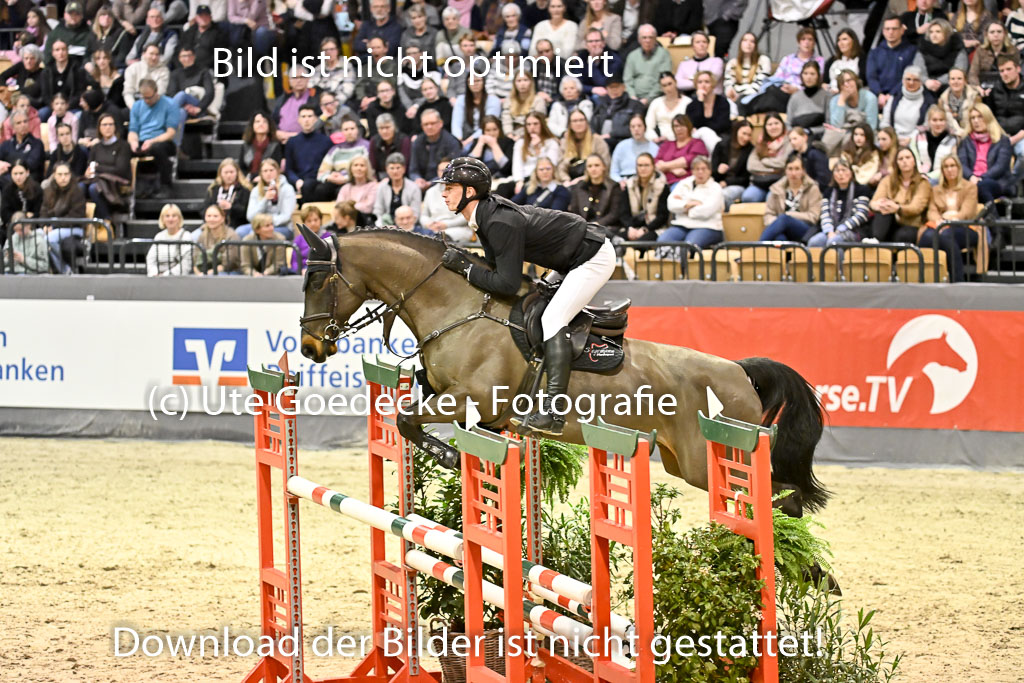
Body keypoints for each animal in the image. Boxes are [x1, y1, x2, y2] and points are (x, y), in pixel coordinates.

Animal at [298, 228, 829, 517]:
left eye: (318, 280)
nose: (309, 346)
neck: (459, 306)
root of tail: (739, 372)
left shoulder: (472, 399)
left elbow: (407, 419)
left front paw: (447, 456)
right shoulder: (477, 411)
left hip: (713, 460)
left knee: (779, 496)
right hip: (686, 462)